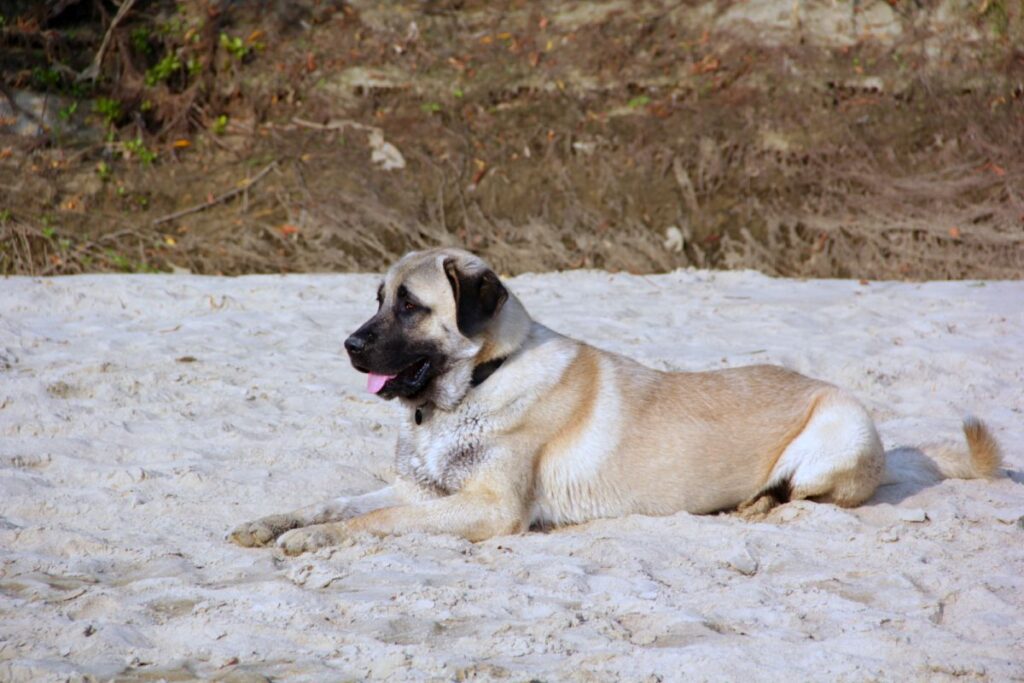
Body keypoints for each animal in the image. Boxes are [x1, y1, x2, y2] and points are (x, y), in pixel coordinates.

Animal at [228, 246, 1003, 557]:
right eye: (377, 299)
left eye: (411, 307)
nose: (350, 345)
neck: (476, 381)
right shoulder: (422, 489)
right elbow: (336, 502)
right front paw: (276, 523)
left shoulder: (488, 509)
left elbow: (376, 521)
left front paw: (313, 541)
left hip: (833, 438)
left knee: (805, 495)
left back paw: (758, 502)